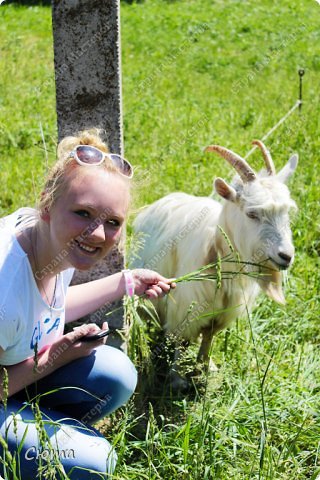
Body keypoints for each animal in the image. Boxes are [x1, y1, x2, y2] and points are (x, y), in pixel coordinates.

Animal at [132, 141, 298, 388]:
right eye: (252, 213)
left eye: (287, 212)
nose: (286, 255)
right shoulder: (185, 307)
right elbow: (180, 339)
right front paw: (177, 379)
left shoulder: (221, 313)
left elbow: (208, 337)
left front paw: (205, 368)